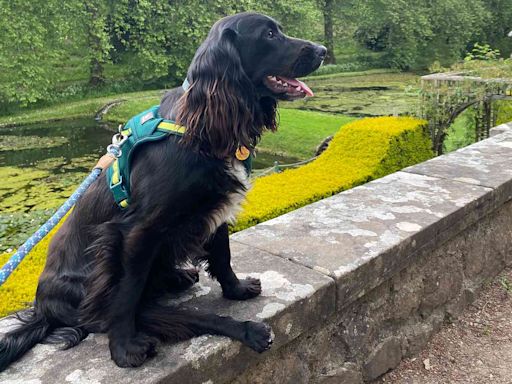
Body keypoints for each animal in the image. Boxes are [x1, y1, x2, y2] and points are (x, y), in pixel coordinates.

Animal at [0, 12, 326, 370]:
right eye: (269, 34)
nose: (323, 50)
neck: (201, 127)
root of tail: (44, 309)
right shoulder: (136, 231)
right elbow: (126, 295)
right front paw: (123, 348)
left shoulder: (214, 206)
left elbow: (223, 254)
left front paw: (236, 289)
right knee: (153, 312)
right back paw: (245, 329)